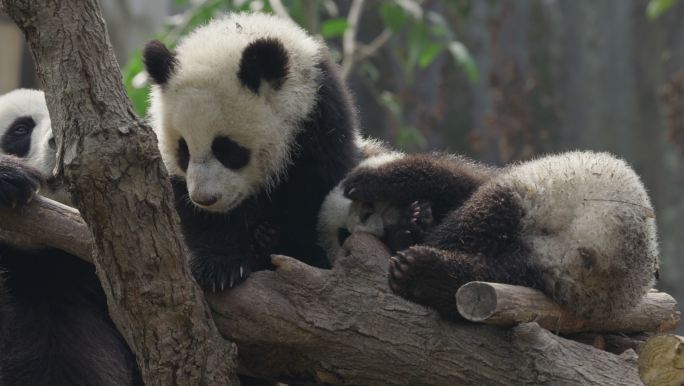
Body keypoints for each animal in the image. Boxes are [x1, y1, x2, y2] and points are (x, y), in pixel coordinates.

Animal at [144, 12, 364, 292]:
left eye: (228, 150)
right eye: (184, 151)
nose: (205, 199)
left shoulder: (320, 124)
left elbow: (316, 197)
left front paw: (287, 246)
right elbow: (192, 212)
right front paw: (219, 266)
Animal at [336, 150, 656, 320]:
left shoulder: (511, 181)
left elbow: (451, 178)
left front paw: (367, 182)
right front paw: (417, 215)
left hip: (537, 201)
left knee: (475, 221)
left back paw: (412, 255)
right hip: (543, 272)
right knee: (488, 272)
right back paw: (424, 272)